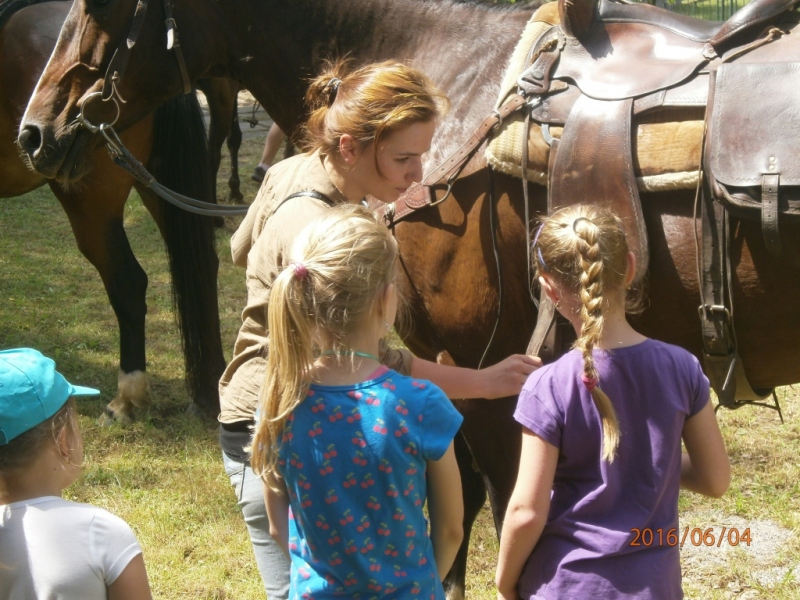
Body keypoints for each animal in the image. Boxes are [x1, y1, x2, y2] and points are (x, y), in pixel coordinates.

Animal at [0, 0, 231, 422]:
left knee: (127, 280)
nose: (32, 134)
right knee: (203, 264)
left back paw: (129, 394)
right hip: (155, 182)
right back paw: (211, 388)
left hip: (89, 202)